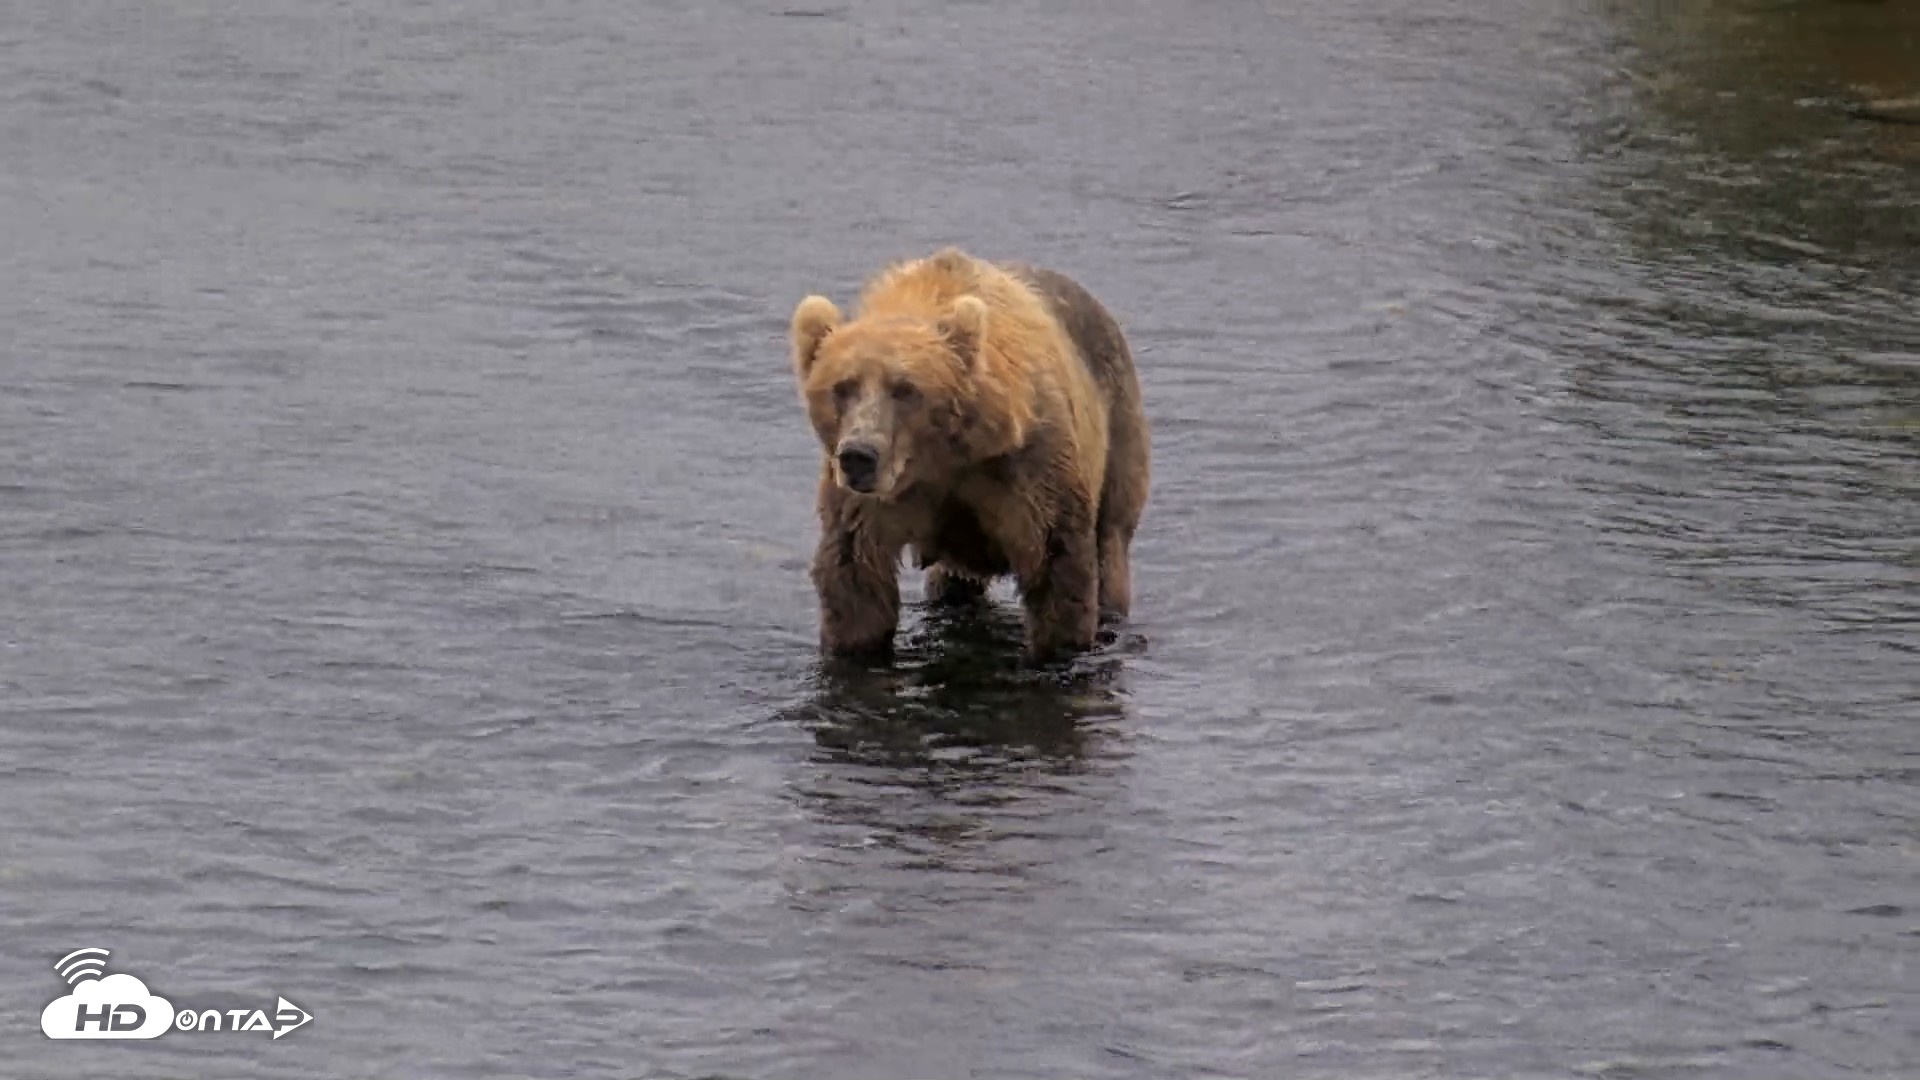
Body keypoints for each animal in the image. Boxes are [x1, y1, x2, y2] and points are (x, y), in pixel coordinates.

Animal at [787, 247, 1150, 662]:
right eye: (842, 387)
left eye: (905, 388)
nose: (859, 456)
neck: (946, 454)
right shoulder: (872, 503)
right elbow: (856, 582)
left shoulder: (1027, 470)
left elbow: (1056, 565)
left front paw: (1060, 644)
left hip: (1118, 427)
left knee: (1111, 544)